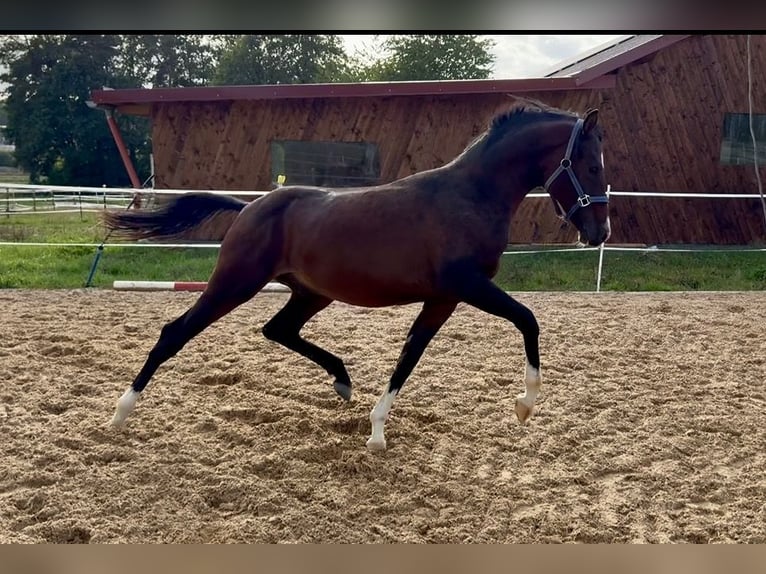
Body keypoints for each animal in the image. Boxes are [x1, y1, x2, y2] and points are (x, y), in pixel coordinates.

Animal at [103, 99, 610, 451]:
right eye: (589, 164)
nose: (599, 232)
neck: (469, 196)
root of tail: (251, 207)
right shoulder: (467, 286)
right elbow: (527, 319)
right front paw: (525, 405)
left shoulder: (443, 298)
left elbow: (410, 355)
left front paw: (376, 429)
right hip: (235, 283)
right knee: (174, 333)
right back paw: (119, 415)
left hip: (311, 293)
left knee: (278, 329)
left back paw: (342, 380)